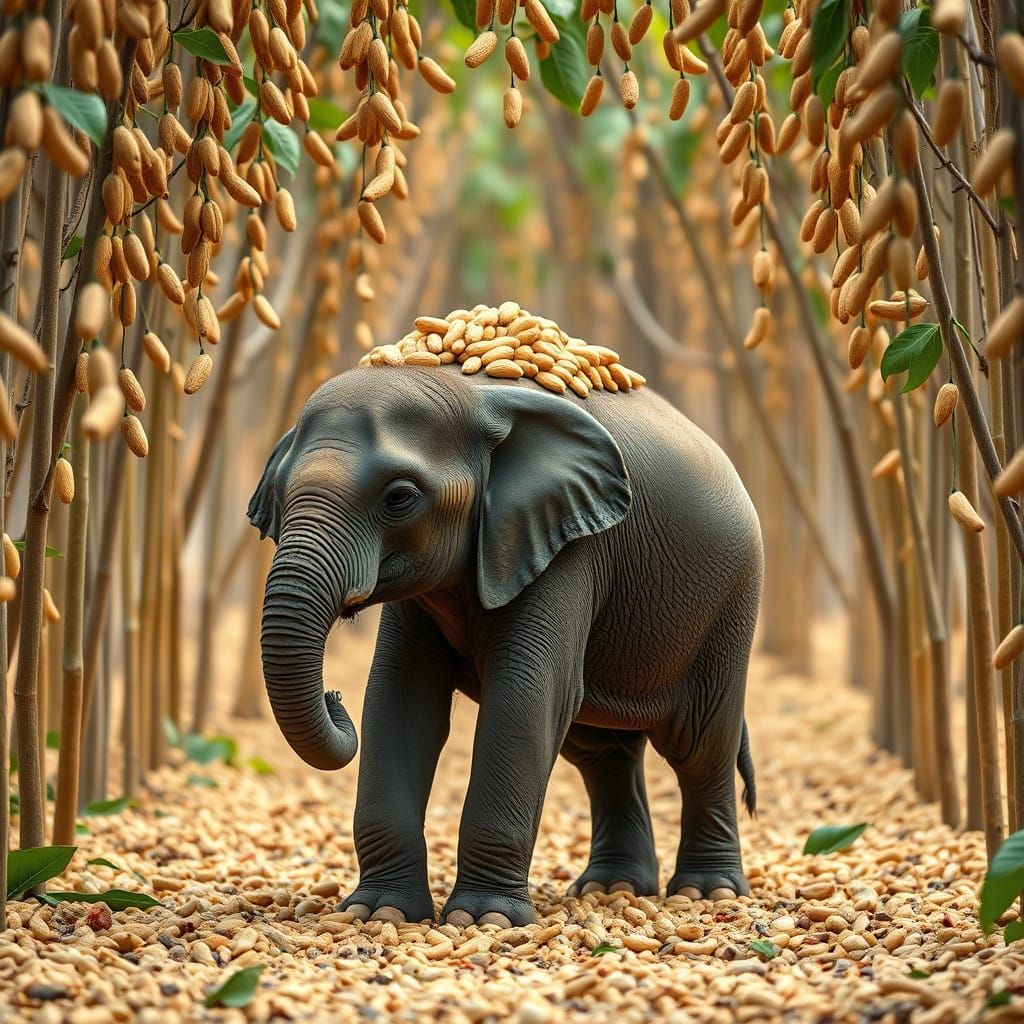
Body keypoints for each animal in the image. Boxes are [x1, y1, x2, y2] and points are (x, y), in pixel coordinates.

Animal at [248, 362, 763, 929]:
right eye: (279, 494)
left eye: (400, 497)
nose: (334, 696)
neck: (472, 391)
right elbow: (399, 697)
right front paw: (380, 911)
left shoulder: (572, 547)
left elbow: (525, 695)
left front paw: (483, 920)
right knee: (603, 751)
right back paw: (612, 887)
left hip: (730, 604)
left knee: (699, 743)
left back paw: (706, 892)